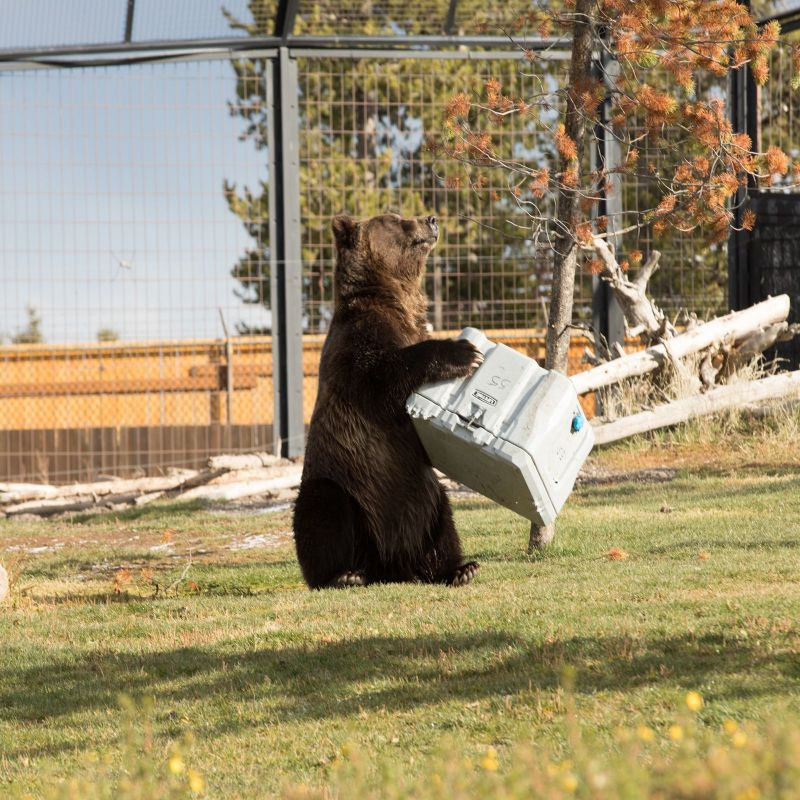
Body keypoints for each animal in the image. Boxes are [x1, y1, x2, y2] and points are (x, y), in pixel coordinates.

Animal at [292, 212, 482, 588]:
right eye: (395, 219)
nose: (431, 219)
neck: (395, 299)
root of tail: (388, 566)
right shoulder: (357, 345)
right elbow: (381, 378)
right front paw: (465, 351)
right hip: (348, 487)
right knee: (322, 511)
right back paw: (343, 575)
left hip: (421, 500)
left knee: (441, 519)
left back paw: (458, 569)